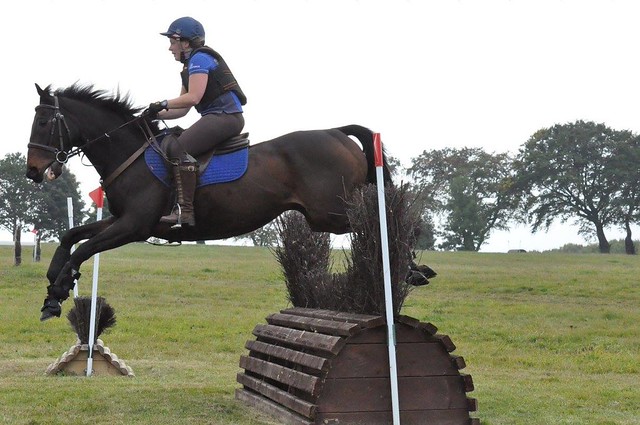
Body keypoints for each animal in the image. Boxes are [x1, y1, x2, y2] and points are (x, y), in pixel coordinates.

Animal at [26, 83, 392, 321]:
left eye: (42, 123)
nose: (33, 171)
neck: (131, 154)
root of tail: (336, 133)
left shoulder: (134, 226)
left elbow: (84, 250)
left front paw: (58, 292)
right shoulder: (120, 220)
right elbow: (71, 237)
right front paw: (53, 283)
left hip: (328, 214)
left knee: (372, 220)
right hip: (324, 215)